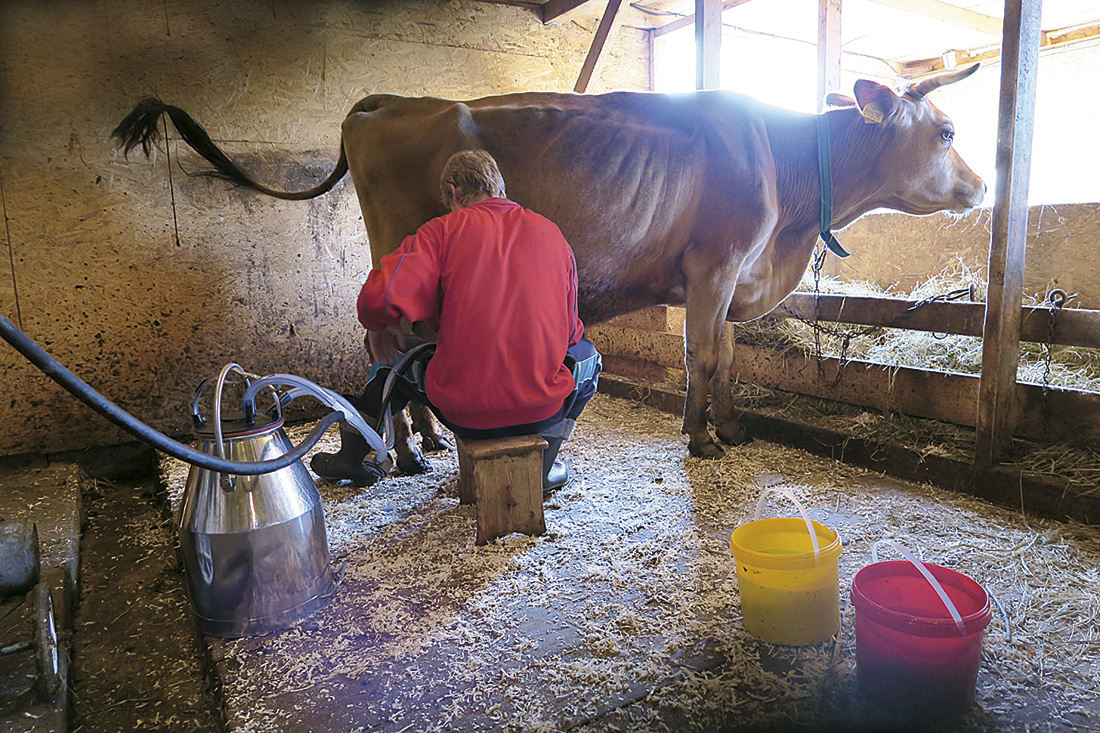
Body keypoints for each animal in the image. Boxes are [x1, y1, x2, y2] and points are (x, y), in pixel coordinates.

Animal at [116, 64, 985, 462]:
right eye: (945, 131)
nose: (982, 187)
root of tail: (390, 100)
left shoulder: (736, 275)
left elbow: (730, 358)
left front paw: (734, 427)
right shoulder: (714, 267)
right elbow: (701, 356)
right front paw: (701, 439)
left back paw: (428, 440)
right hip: (397, 253)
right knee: (386, 345)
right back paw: (406, 449)